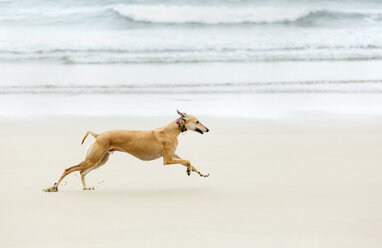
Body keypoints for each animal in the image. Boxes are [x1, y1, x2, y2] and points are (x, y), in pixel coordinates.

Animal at [43, 110, 210, 192]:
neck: (172, 129)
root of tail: (98, 135)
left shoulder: (173, 155)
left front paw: (200, 173)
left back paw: (85, 187)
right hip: (93, 159)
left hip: (100, 160)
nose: (207, 129)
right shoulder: (167, 159)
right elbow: (188, 160)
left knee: (82, 172)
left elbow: (190, 162)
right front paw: (189, 170)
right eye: (197, 121)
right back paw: (54, 186)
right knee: (69, 169)